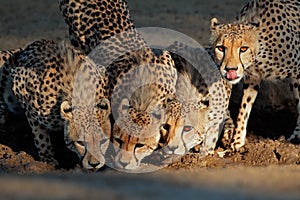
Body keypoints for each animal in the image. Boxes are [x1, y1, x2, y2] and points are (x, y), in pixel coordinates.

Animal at [211, 0, 300, 151]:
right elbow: (244, 106)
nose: (230, 69)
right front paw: (238, 139)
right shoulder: (252, 78)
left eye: (243, 48)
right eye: (221, 48)